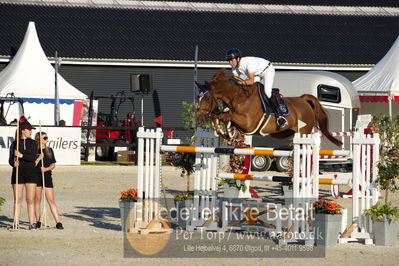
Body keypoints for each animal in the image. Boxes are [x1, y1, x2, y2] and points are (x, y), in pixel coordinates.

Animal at [196, 69, 340, 145]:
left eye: (207, 98)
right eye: (198, 98)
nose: (199, 117)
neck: (239, 97)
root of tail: (304, 100)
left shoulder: (248, 123)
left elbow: (225, 115)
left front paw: (226, 130)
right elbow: (220, 116)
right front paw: (224, 132)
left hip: (304, 131)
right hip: (285, 133)